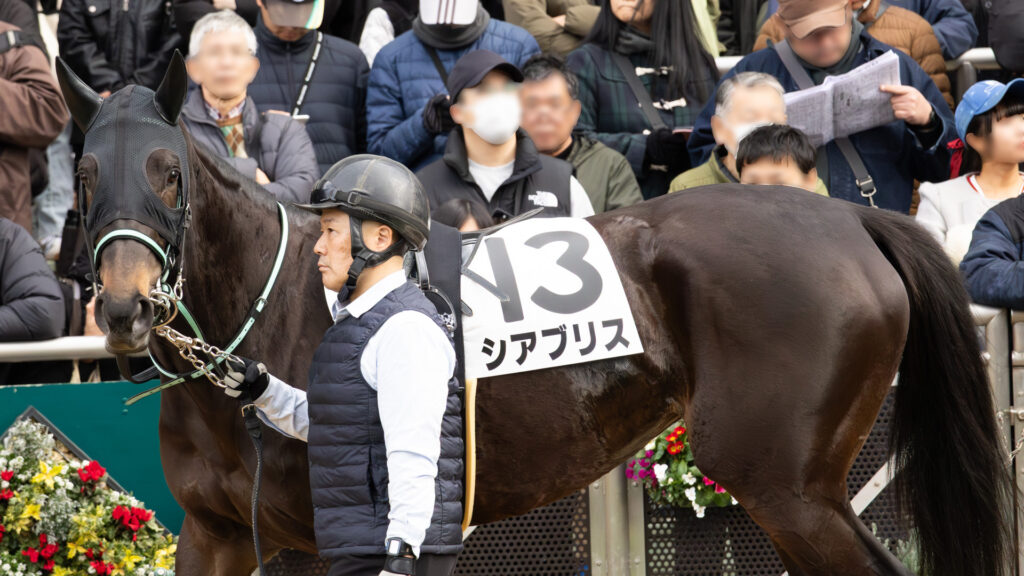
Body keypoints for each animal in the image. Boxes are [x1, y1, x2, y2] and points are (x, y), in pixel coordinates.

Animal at [57, 53, 1015, 576]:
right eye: (87, 173)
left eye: (168, 171)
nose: (125, 306)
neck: (284, 309)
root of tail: (851, 218)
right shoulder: (216, 536)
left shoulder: (326, 541)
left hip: (788, 485)